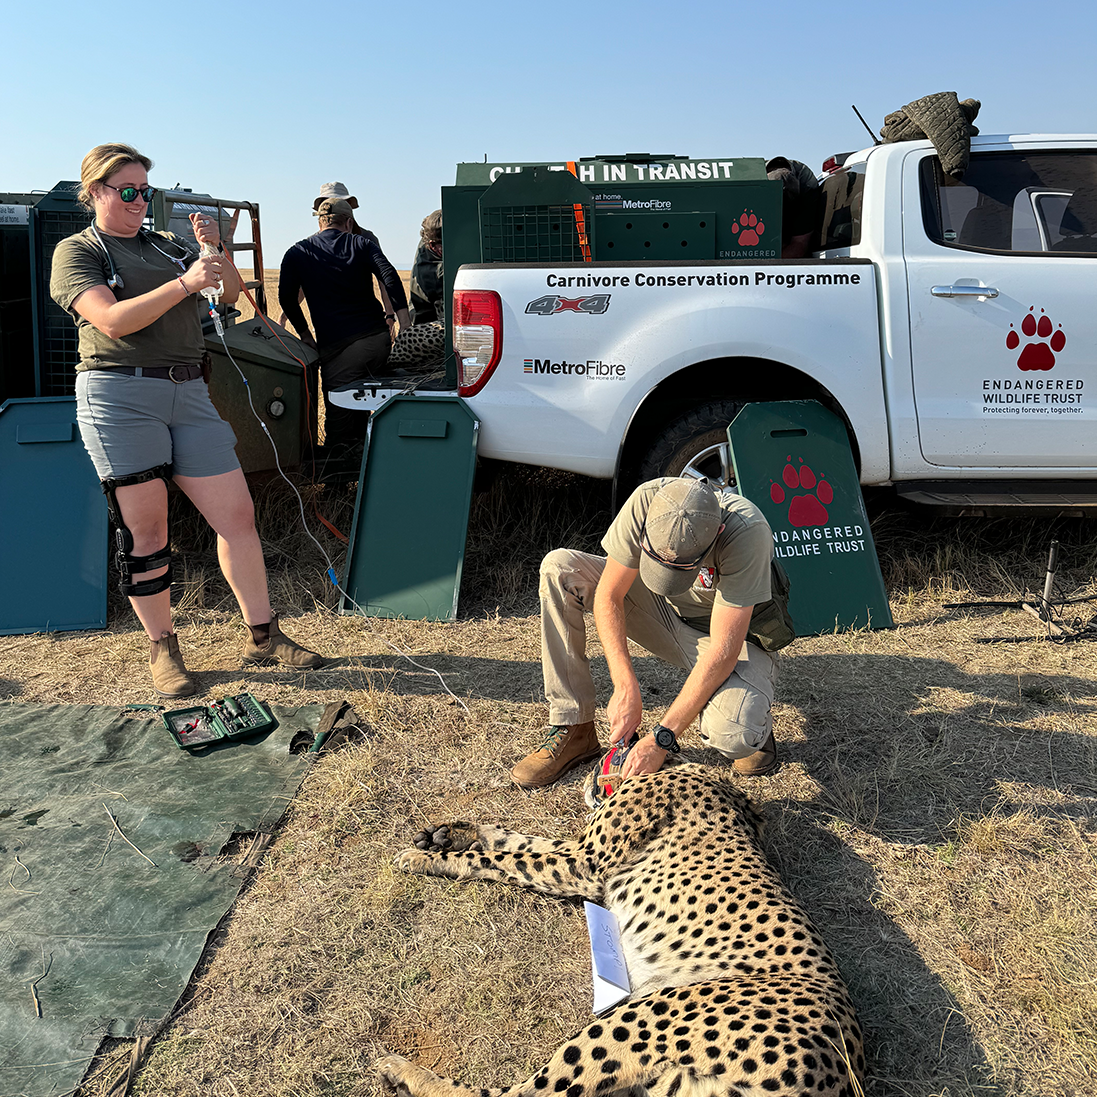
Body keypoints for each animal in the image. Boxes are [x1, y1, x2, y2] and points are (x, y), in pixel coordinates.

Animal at [377, 763, 864, 1097]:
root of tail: (841, 1075)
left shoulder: (585, 866)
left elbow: (501, 857)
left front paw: (431, 858)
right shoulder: (576, 856)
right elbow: (514, 839)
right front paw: (452, 832)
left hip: (638, 1018)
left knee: (524, 1094)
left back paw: (403, 1072)